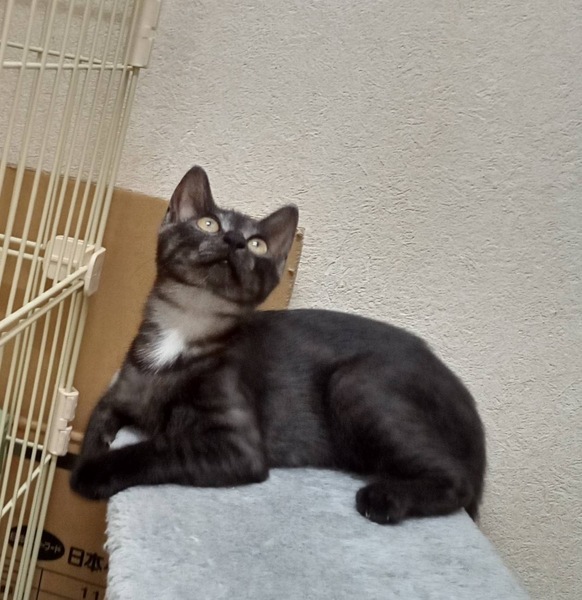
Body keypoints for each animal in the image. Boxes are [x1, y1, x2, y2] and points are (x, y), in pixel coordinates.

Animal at [70, 165, 486, 525]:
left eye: (257, 244)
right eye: (208, 223)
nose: (235, 241)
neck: (184, 326)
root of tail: (466, 399)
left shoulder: (238, 447)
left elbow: (160, 447)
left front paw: (92, 473)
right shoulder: (118, 395)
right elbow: (94, 425)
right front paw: (84, 458)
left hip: (356, 383)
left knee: (457, 482)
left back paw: (383, 497)